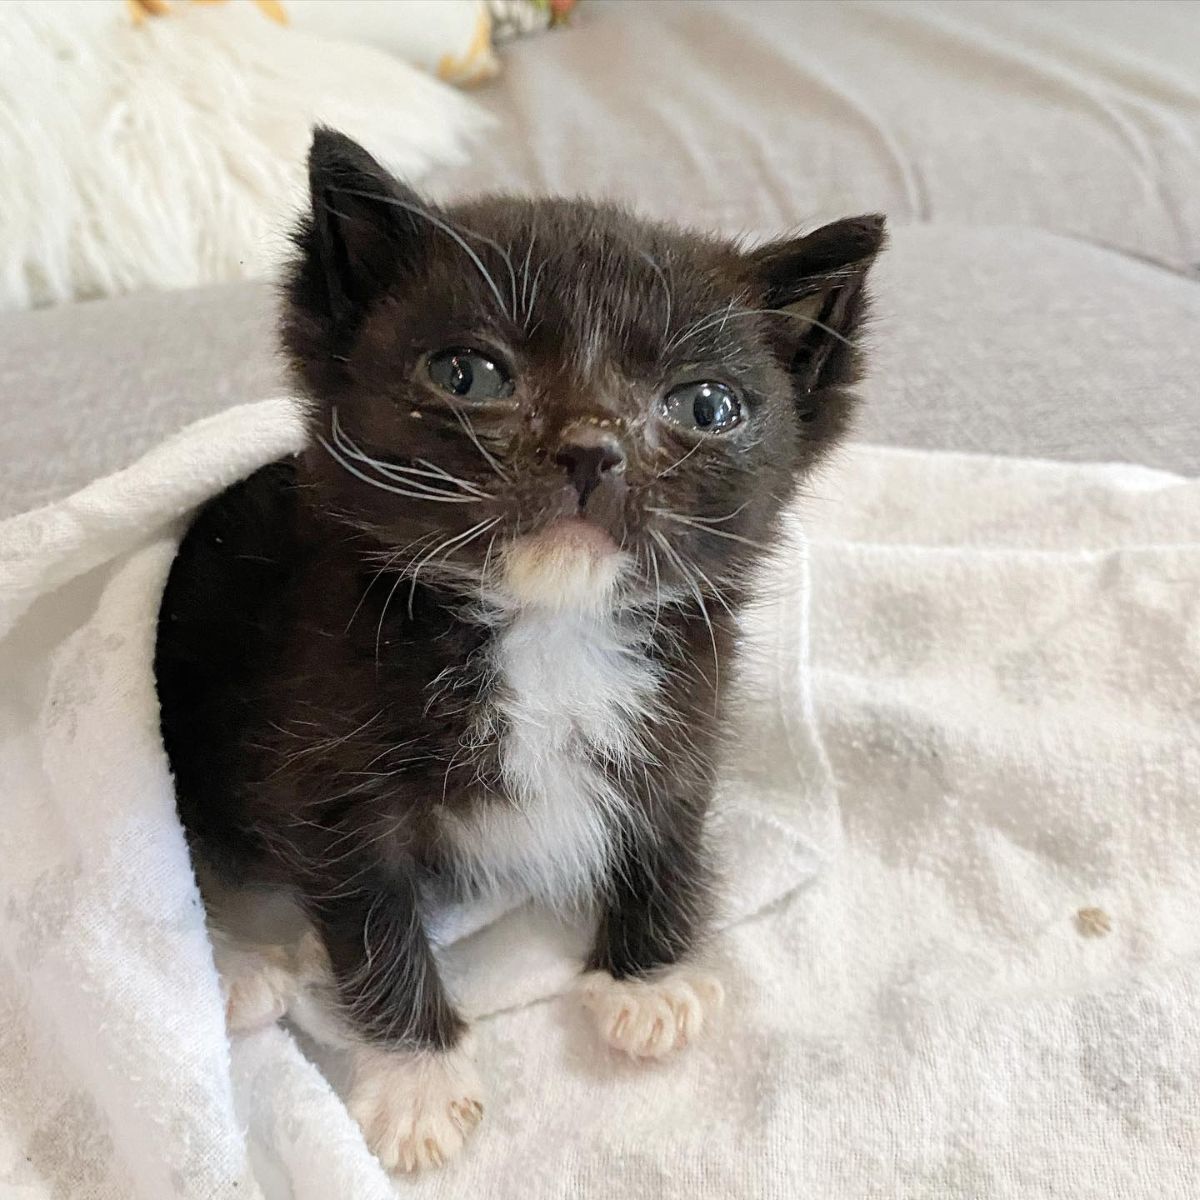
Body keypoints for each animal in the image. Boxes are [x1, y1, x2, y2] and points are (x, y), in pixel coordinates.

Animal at [154, 129, 883, 1171]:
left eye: (707, 406)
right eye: (468, 375)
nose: (592, 449)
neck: (550, 626)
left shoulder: (687, 700)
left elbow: (671, 815)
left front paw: (645, 979)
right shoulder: (324, 745)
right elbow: (372, 915)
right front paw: (417, 1079)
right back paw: (243, 965)